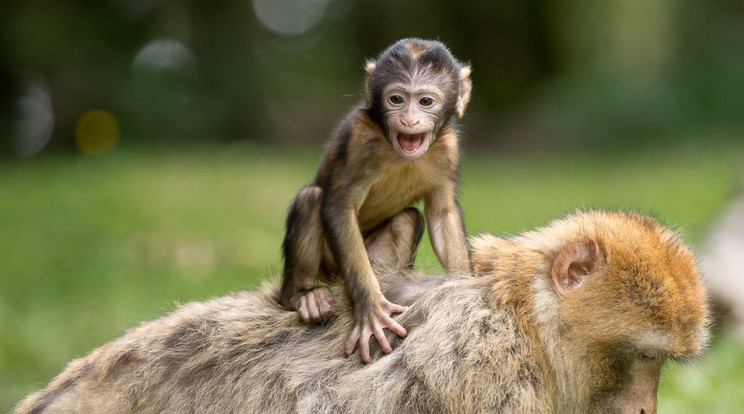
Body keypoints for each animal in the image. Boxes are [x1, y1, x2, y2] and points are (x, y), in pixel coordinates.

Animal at [280, 38, 470, 362]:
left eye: (425, 102)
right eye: (396, 99)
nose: (408, 119)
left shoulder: (448, 148)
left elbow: (442, 214)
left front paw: (464, 291)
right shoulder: (359, 141)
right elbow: (339, 208)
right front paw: (370, 309)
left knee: (408, 219)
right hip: (330, 266)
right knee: (311, 199)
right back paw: (301, 296)